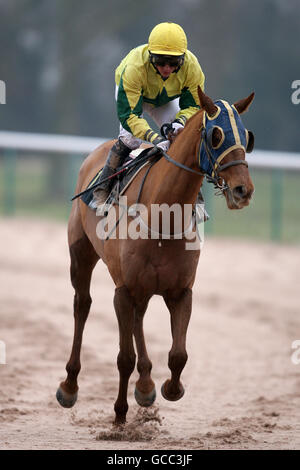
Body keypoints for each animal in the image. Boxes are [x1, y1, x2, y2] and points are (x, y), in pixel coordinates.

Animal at [56, 86, 255, 424]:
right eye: (215, 135)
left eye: (246, 135)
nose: (243, 189)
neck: (163, 216)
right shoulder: (123, 290)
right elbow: (124, 357)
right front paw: (120, 416)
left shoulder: (181, 291)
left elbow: (178, 355)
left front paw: (168, 389)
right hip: (81, 255)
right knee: (82, 305)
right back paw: (70, 386)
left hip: (145, 287)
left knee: (139, 317)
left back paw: (146, 384)